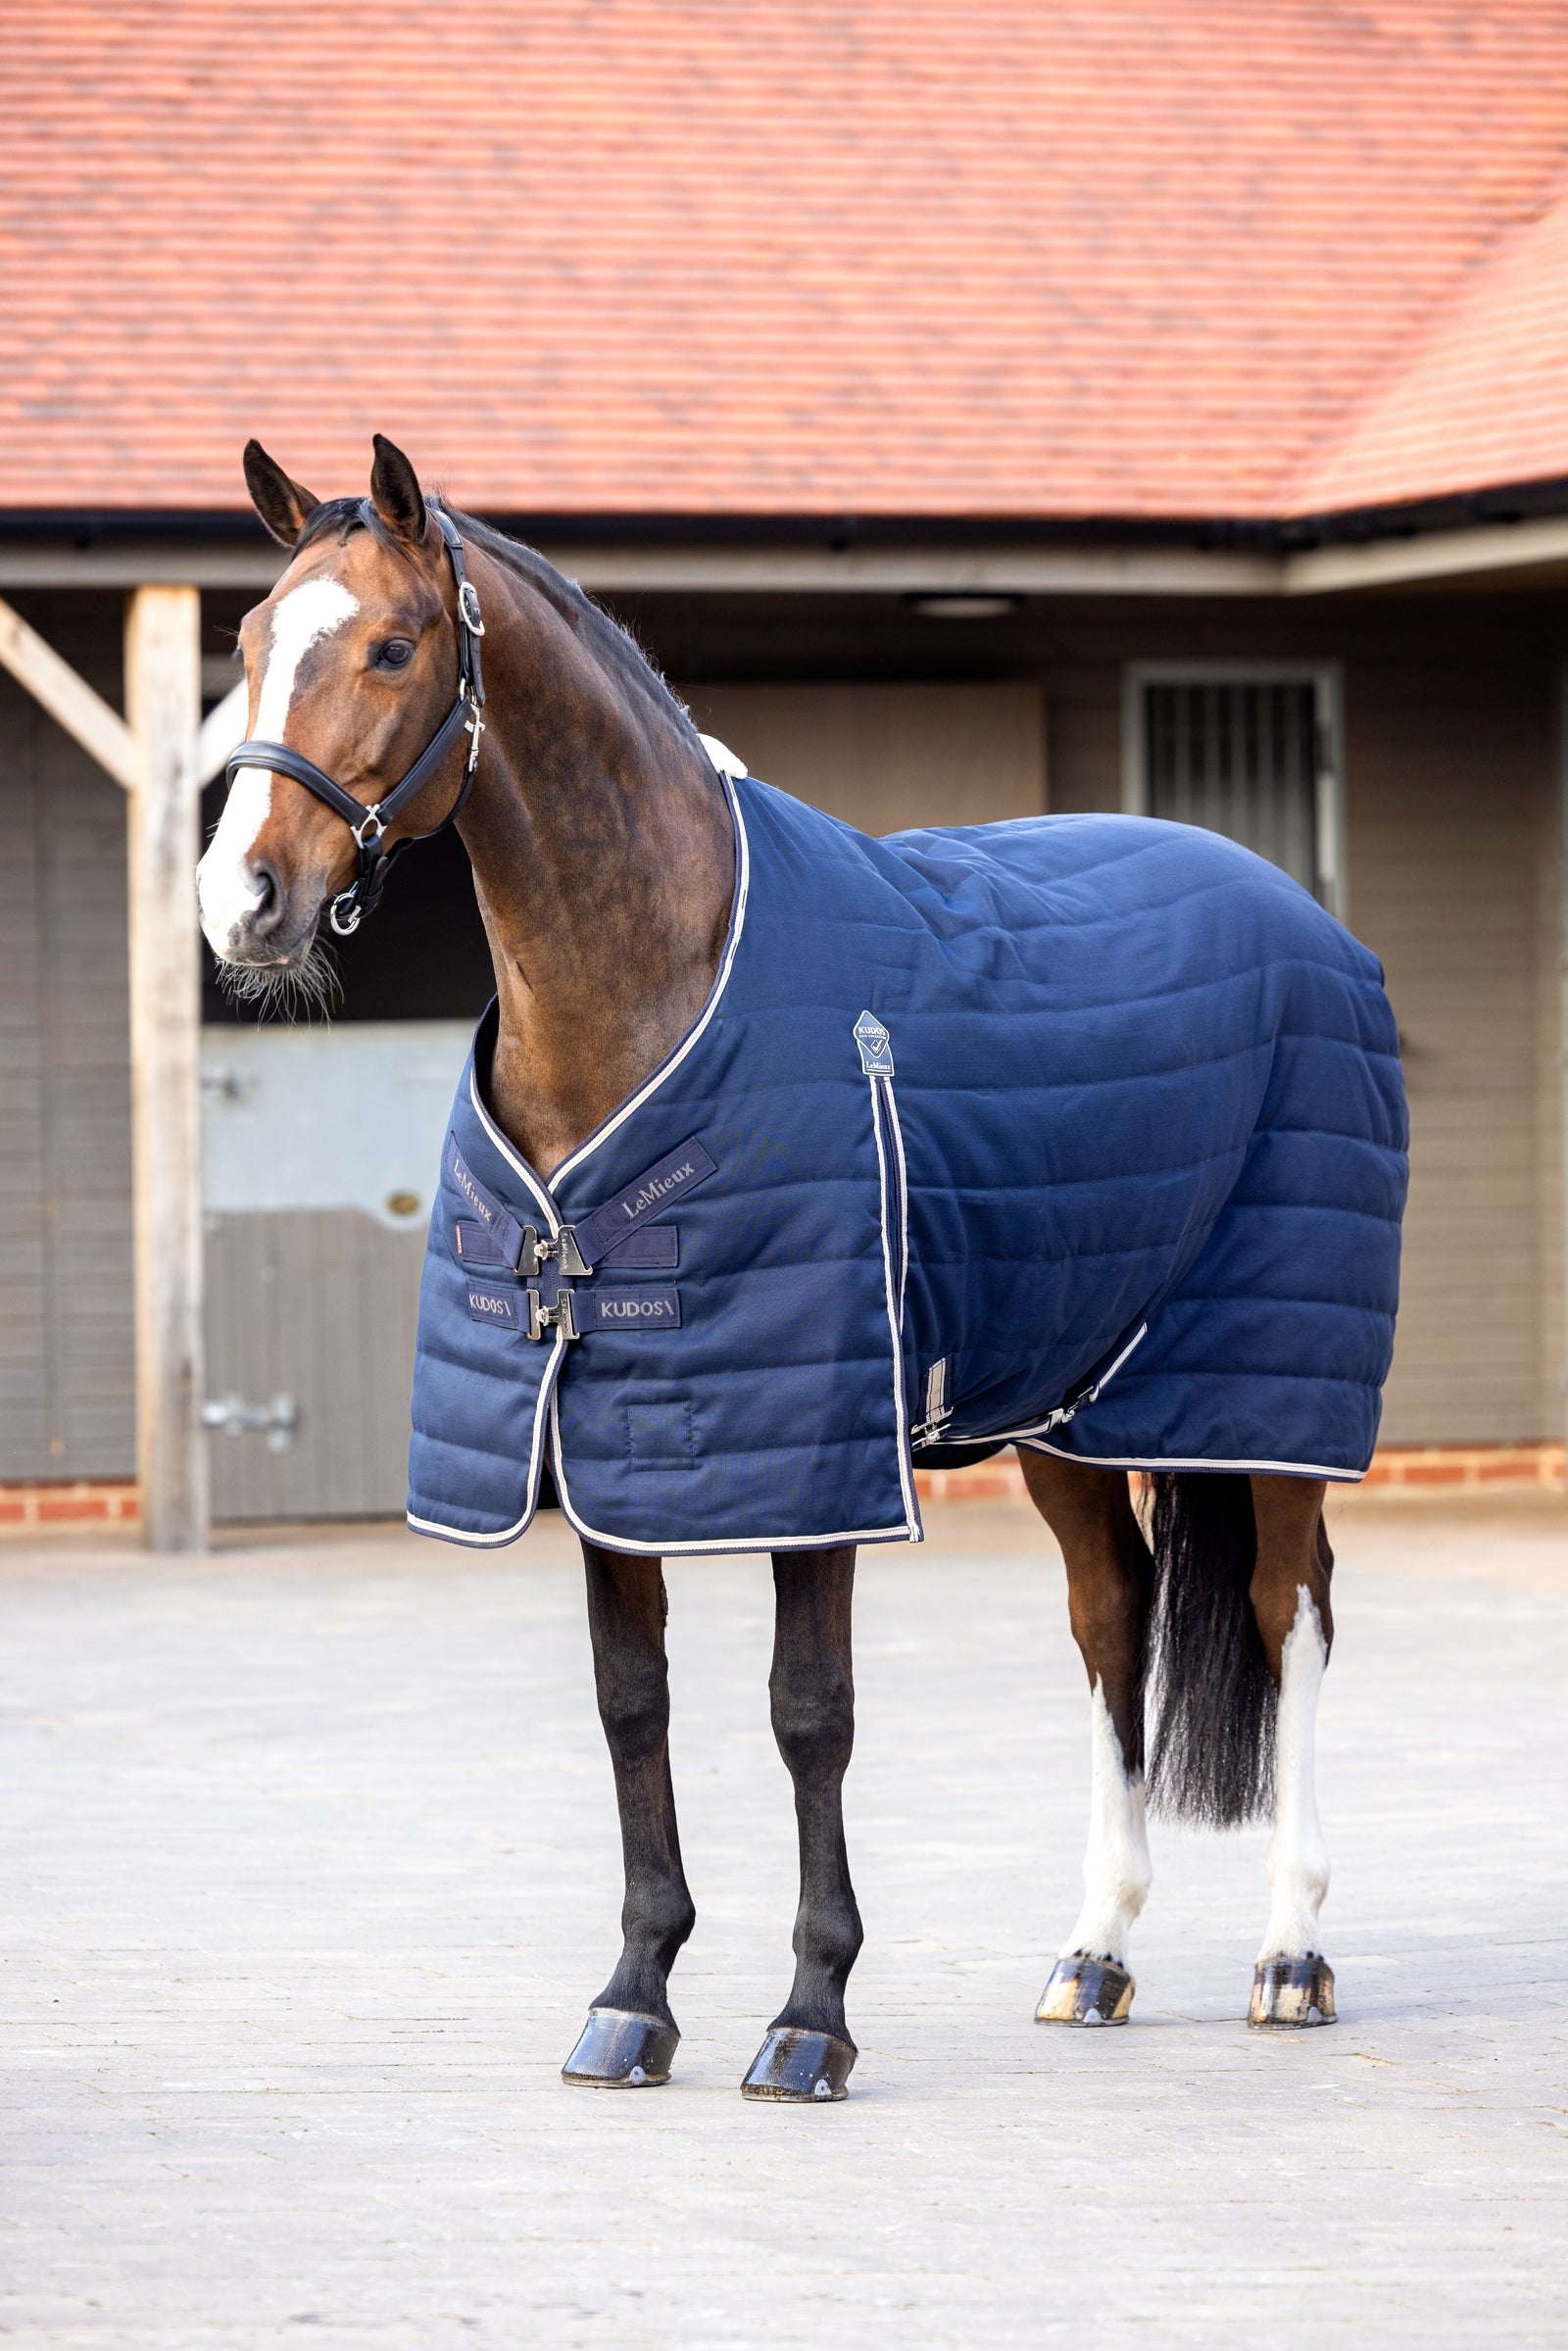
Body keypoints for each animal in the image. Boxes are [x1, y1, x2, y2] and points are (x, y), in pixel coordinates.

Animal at [196, 435, 1406, 2102]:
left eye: (387, 645)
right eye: (251, 643)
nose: (239, 901)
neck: (664, 977)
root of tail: (1305, 915)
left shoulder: (816, 1445)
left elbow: (806, 1712)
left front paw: (810, 2015)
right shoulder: (607, 1434)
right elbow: (631, 1704)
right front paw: (632, 1997)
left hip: (1269, 1394)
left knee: (1293, 1615)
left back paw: (1291, 1951)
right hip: (1070, 1405)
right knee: (1114, 1618)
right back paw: (1095, 1952)